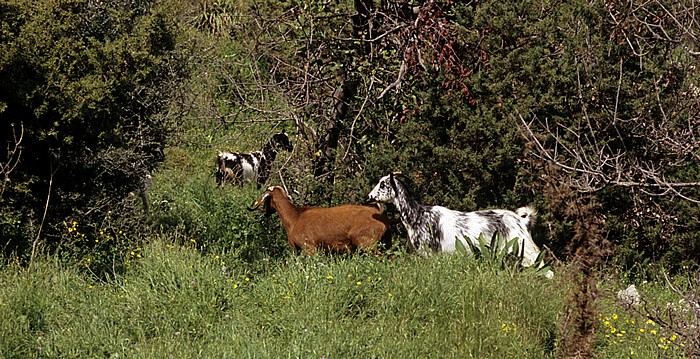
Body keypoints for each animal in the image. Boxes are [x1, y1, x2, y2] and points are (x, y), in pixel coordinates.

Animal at [249, 187, 392, 255]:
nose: (265, 211)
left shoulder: (309, 247)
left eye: (266, 200)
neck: (295, 218)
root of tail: (382, 217)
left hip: (366, 242)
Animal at [366, 173, 552, 278]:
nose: (369, 196)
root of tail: (522, 221)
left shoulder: (430, 253)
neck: (418, 215)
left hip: (526, 251)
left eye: (383, 184)